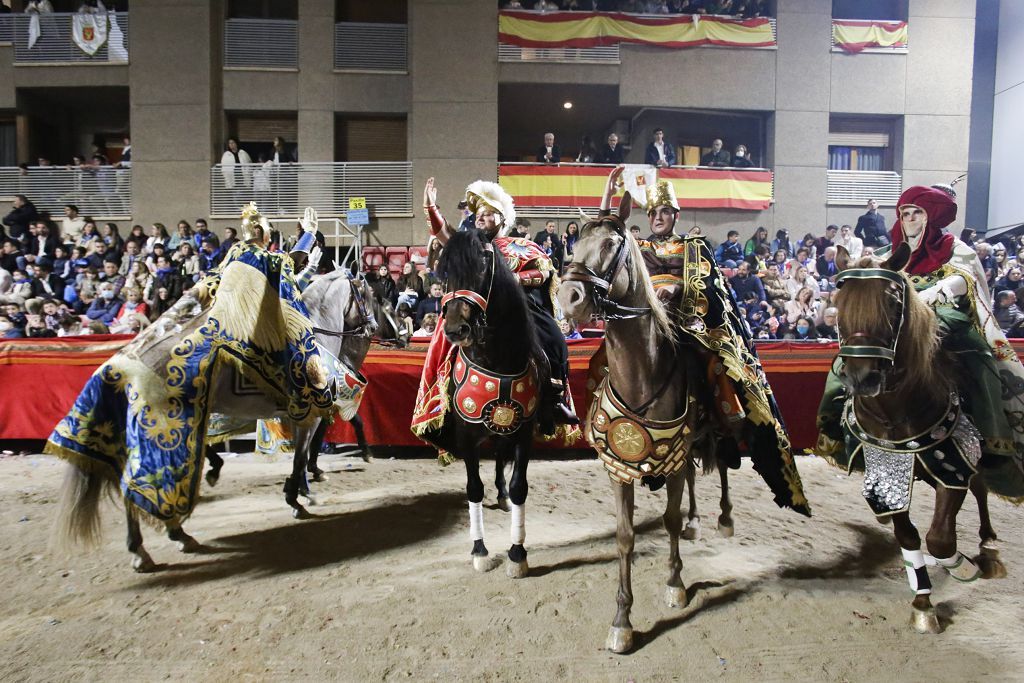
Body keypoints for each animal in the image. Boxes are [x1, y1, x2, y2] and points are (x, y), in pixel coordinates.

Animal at [432, 229, 548, 577]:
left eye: (483, 265)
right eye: (444, 272)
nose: (456, 329)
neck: (497, 360)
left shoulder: (524, 433)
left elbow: (520, 485)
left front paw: (517, 554)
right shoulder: (466, 436)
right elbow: (474, 488)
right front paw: (480, 551)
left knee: (500, 458)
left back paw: (503, 495)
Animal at [831, 242, 1007, 634]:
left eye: (893, 300)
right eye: (839, 300)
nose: (862, 377)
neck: (897, 411)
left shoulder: (953, 463)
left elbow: (940, 538)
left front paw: (963, 567)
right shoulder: (885, 473)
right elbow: (908, 534)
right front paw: (923, 601)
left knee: (982, 489)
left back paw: (988, 549)